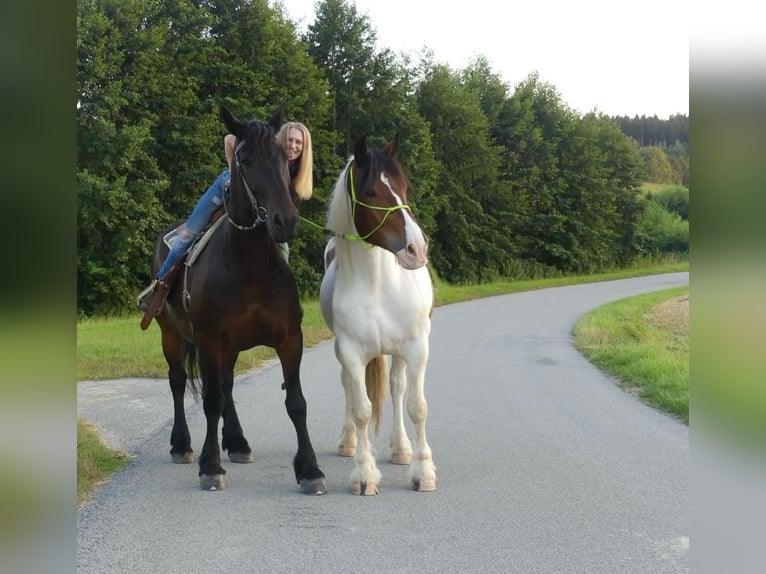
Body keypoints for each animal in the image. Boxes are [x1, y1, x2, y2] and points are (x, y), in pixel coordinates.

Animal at [150, 108, 328, 496]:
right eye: (244, 160)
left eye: (284, 158)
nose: (285, 220)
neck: (250, 266)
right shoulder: (209, 341)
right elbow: (210, 400)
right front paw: (210, 466)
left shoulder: (289, 339)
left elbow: (297, 402)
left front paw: (310, 469)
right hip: (170, 333)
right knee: (178, 380)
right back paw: (182, 445)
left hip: (228, 347)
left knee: (227, 385)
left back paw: (237, 442)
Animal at [320, 134, 438, 496]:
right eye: (371, 192)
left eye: (404, 185)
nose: (417, 249)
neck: (377, 285)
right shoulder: (350, 352)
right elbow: (361, 410)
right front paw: (364, 473)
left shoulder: (417, 348)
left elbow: (417, 406)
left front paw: (423, 472)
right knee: (350, 388)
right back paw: (349, 443)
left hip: (399, 353)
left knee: (397, 388)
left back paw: (401, 448)